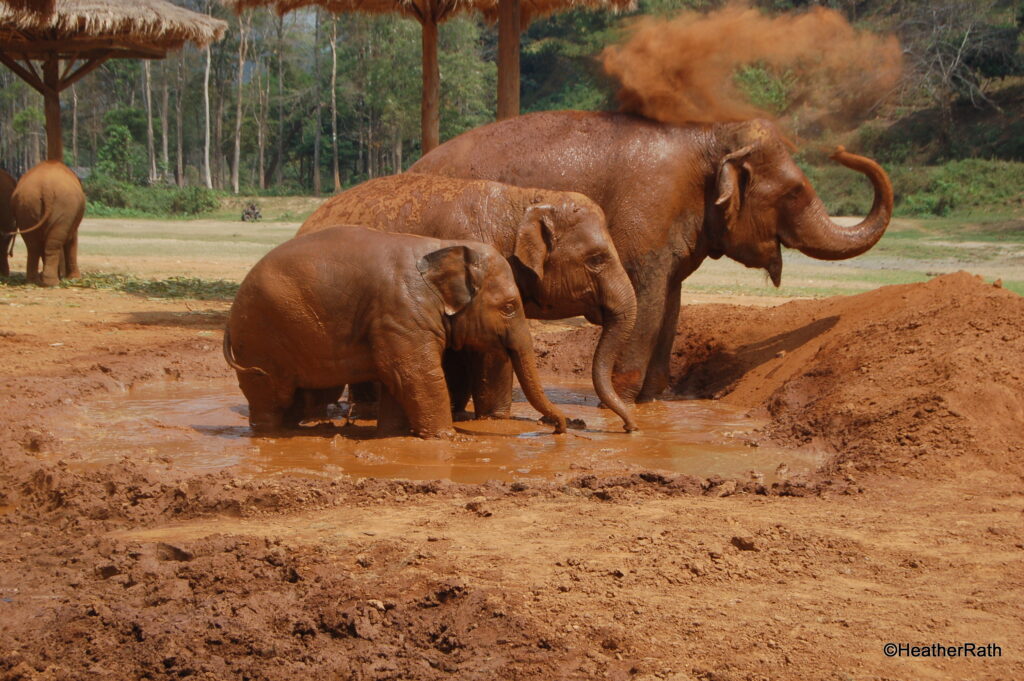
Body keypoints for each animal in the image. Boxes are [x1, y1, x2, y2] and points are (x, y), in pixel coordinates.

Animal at [223, 220, 569, 438]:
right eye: (509, 307)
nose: (558, 427)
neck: (443, 248)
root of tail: (229, 317)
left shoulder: (394, 323)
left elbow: (397, 377)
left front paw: (394, 435)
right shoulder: (402, 312)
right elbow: (416, 373)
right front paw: (450, 438)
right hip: (259, 339)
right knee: (270, 395)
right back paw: (272, 434)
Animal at [296, 174, 634, 430]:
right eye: (596, 259)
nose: (630, 427)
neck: (525, 199)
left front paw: (464, 412)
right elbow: (487, 350)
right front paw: (496, 419)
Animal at [411, 109, 892, 401]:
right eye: (794, 192)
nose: (840, 150)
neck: (708, 134)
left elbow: (670, 303)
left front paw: (653, 400)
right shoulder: (645, 215)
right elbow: (647, 299)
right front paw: (621, 403)